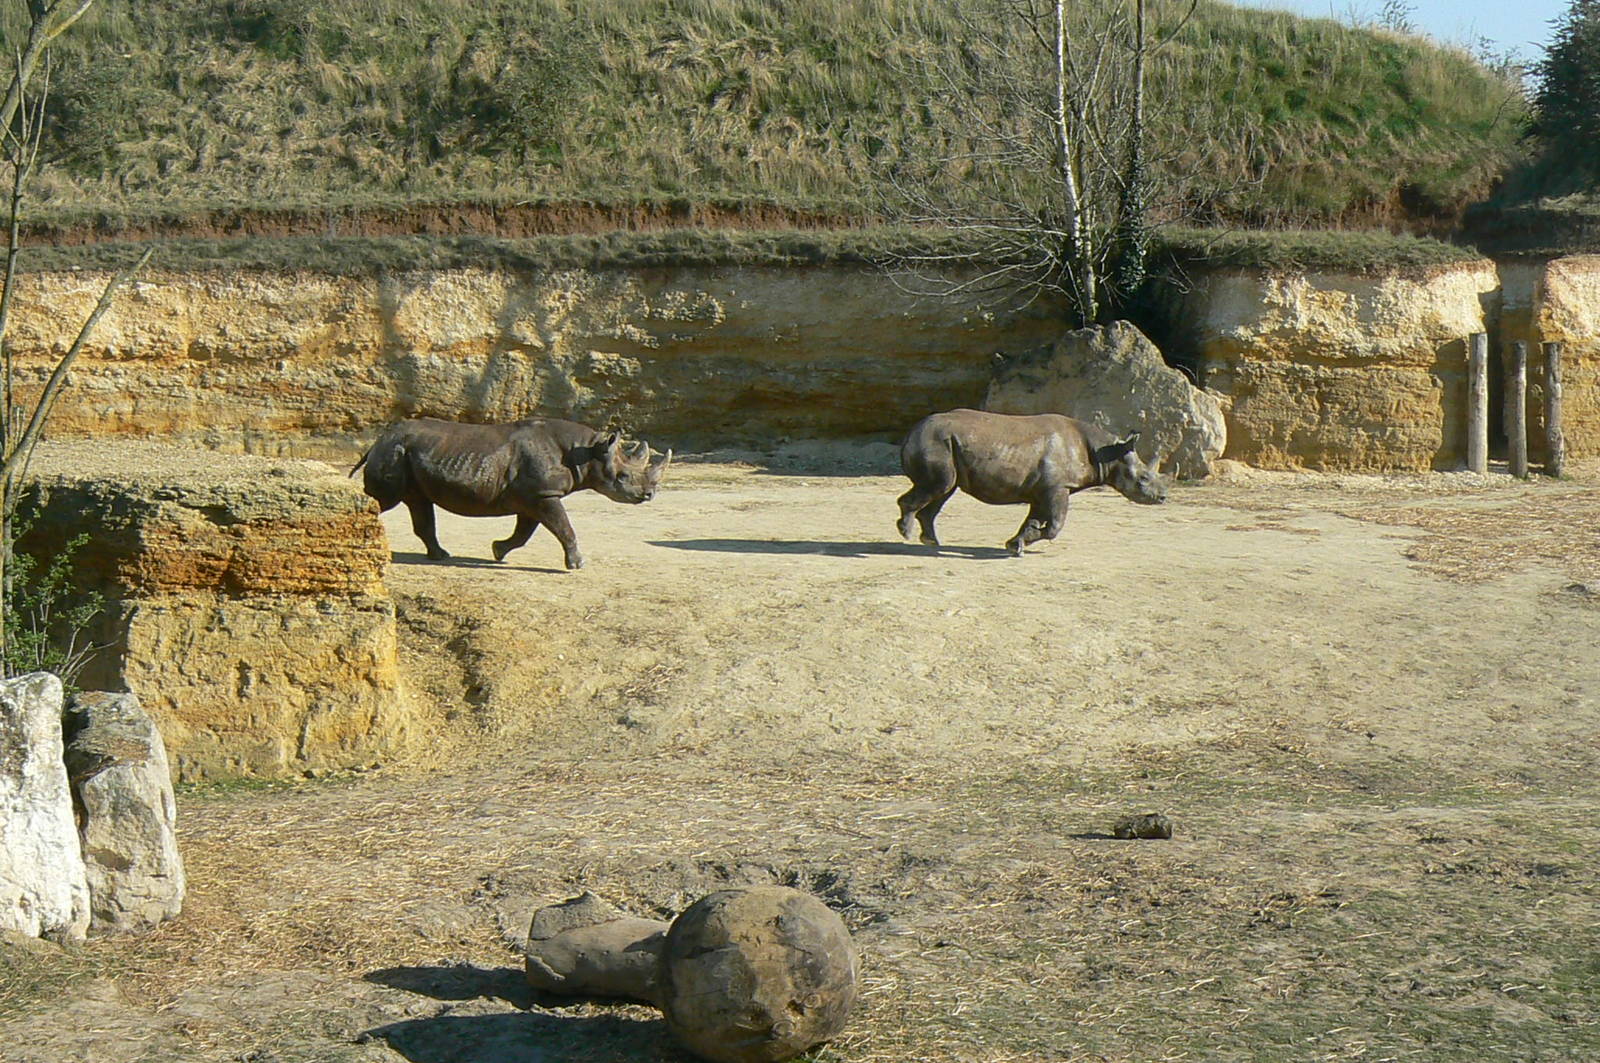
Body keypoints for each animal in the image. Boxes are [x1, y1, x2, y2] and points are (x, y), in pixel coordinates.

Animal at [351, 417, 671, 570]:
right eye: (623, 477)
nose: (649, 495)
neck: (589, 450)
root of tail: (379, 439)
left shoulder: (535, 496)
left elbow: (525, 532)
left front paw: (498, 551)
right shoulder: (543, 494)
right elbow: (564, 527)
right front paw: (578, 565)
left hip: (407, 453)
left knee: (419, 502)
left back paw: (440, 556)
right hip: (393, 453)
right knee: (384, 500)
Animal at [896, 408, 1167, 556]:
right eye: (1143, 478)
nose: (1163, 497)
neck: (1107, 453)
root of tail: (911, 431)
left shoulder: (1042, 489)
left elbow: (1034, 518)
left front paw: (1015, 545)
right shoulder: (1058, 486)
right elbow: (1055, 524)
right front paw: (1025, 541)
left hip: (945, 443)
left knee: (943, 490)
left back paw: (930, 542)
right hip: (935, 441)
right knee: (938, 486)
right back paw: (906, 532)